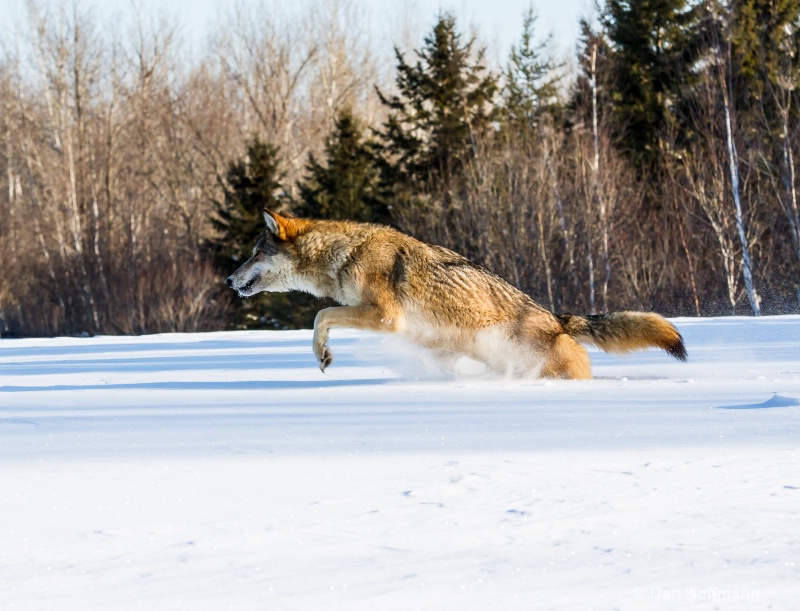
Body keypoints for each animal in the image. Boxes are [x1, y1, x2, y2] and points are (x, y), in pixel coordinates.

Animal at [227, 210, 688, 380]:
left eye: (254, 252)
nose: (229, 280)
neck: (347, 253)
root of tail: (559, 320)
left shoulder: (384, 317)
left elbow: (320, 315)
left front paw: (323, 355)